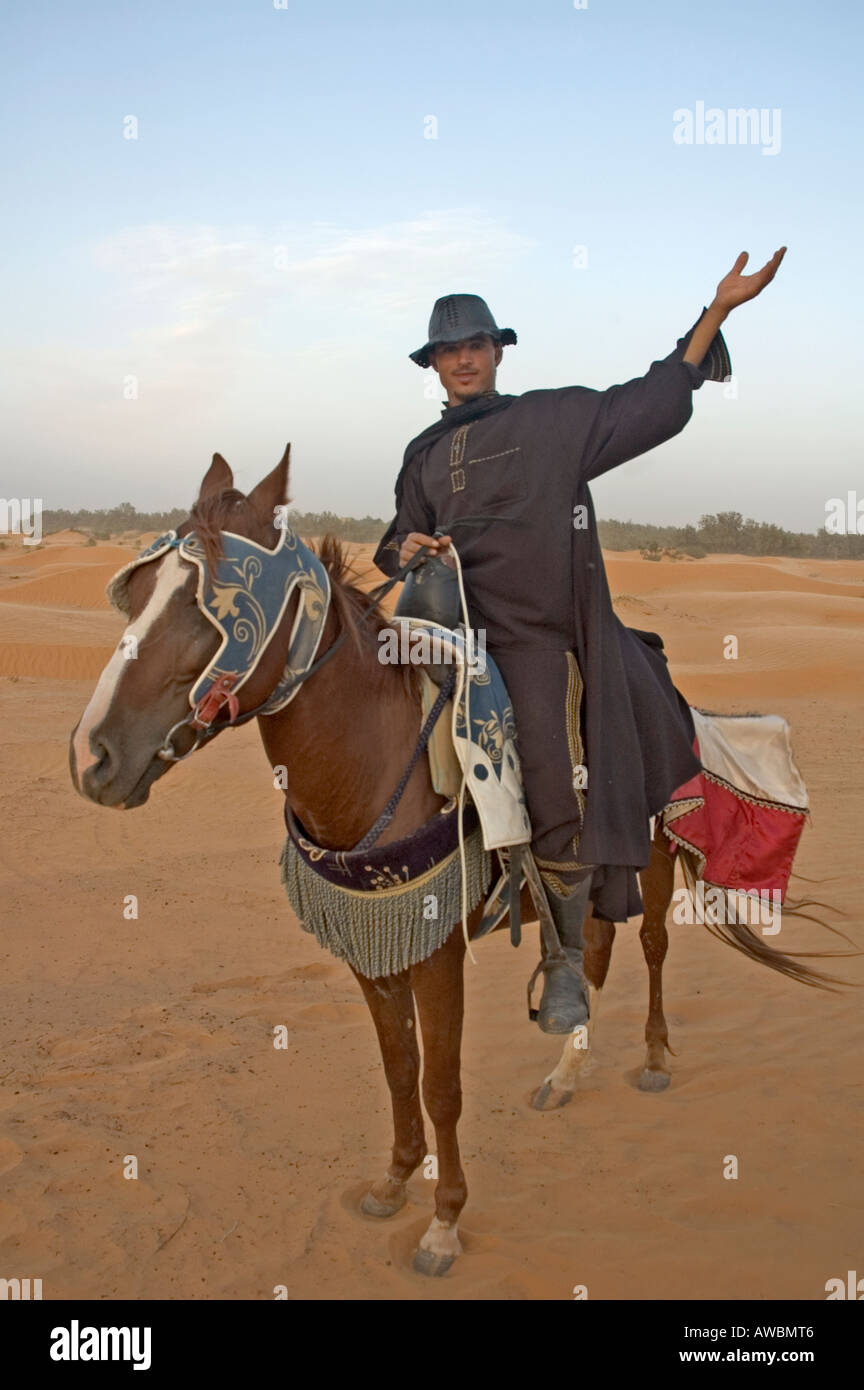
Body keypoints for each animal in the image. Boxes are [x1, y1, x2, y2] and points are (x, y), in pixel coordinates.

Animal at [71, 450, 850, 1273]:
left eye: (207, 609)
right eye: (135, 597)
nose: (92, 758)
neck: (373, 759)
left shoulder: (437, 946)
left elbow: (442, 1084)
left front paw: (444, 1220)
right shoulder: (373, 943)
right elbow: (399, 1071)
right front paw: (393, 1180)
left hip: (657, 853)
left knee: (652, 945)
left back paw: (655, 1058)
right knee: (593, 949)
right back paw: (565, 1071)